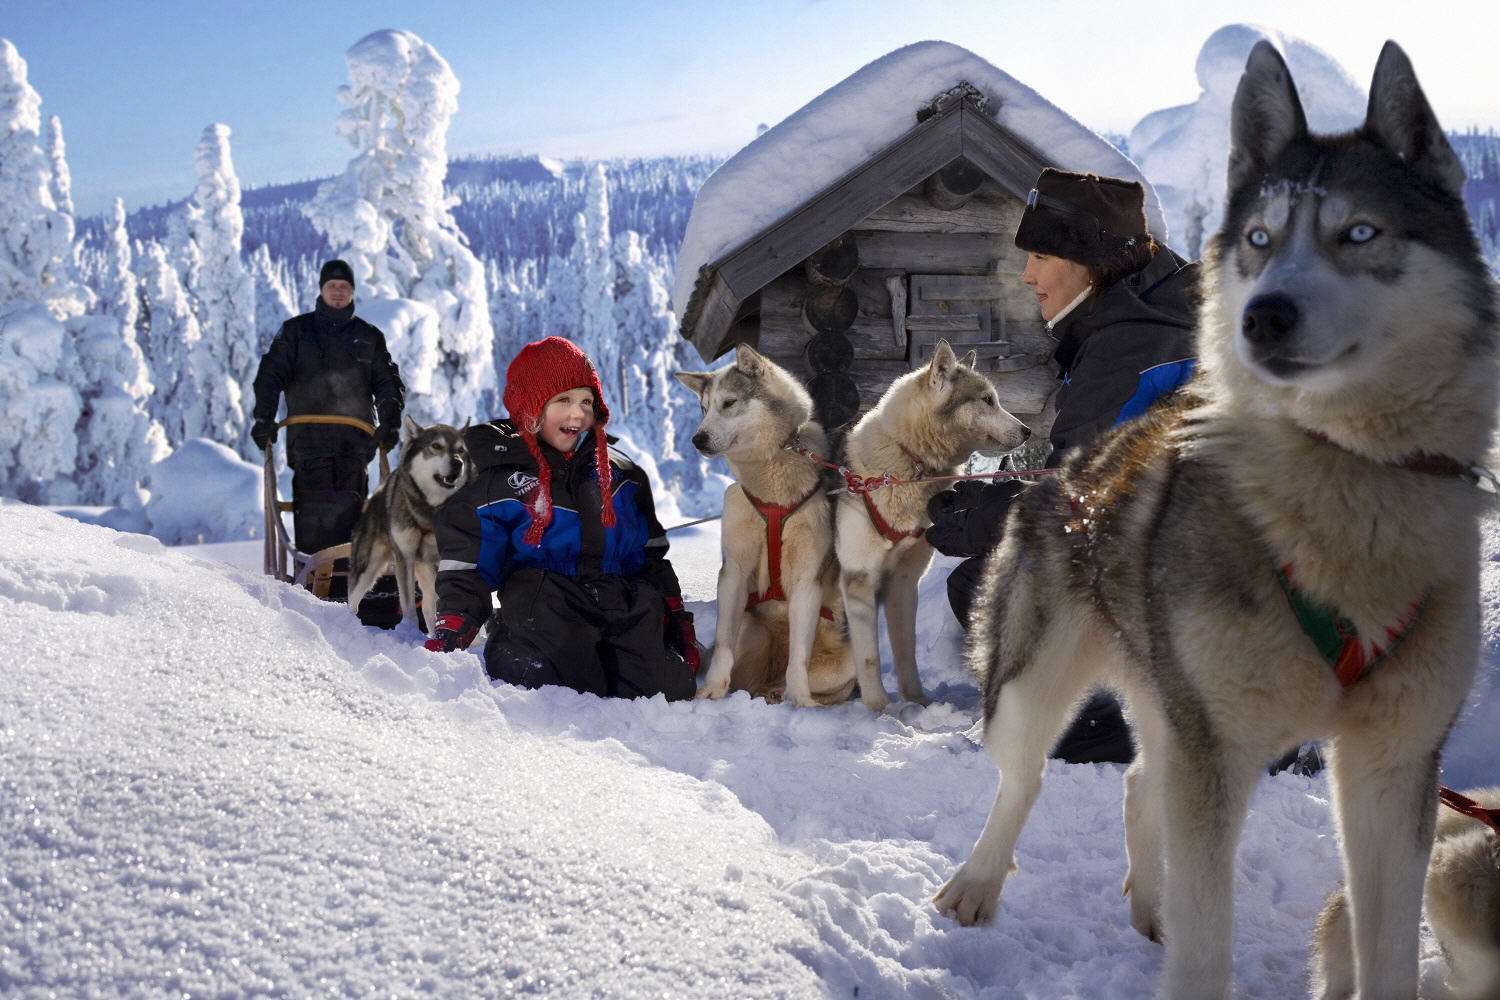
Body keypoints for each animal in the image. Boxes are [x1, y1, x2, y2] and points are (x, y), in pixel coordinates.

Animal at [349, 413, 471, 632]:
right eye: (436, 446)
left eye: (460, 450)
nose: (457, 462)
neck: (428, 512)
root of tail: (380, 489)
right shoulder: (405, 557)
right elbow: (409, 608)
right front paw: (409, 631)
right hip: (367, 567)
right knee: (353, 597)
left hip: (426, 571)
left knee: (430, 608)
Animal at [678, 347, 858, 707]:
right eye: (704, 409)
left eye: (729, 403)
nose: (697, 439)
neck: (771, 493)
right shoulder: (733, 573)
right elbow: (723, 646)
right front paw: (711, 691)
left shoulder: (806, 580)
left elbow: (798, 659)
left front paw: (801, 702)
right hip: (750, 626)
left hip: (848, 661)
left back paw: (785, 694)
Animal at [834, 341, 1032, 710]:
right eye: (987, 400)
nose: (1029, 432)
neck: (909, 462)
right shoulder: (859, 581)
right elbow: (868, 658)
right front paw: (879, 710)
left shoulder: (903, 584)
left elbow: (905, 650)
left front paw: (917, 703)